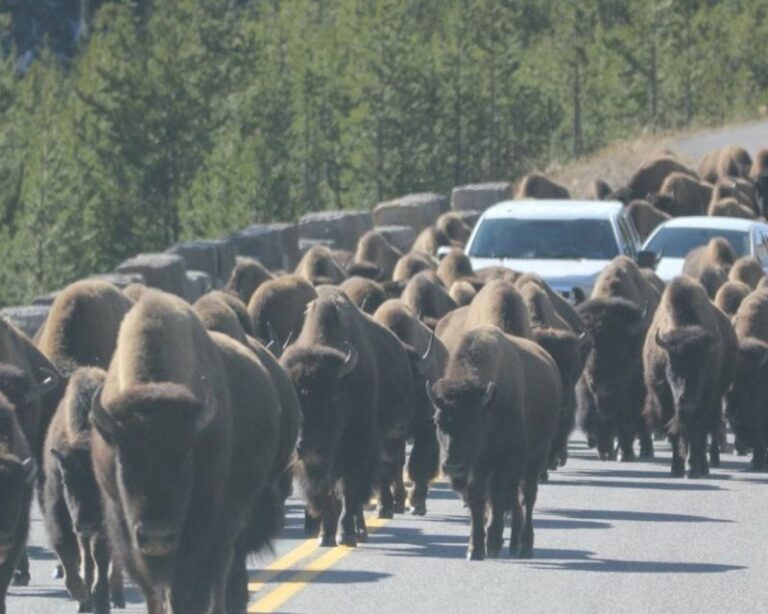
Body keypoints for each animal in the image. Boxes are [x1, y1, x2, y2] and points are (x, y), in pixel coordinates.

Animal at [91, 294, 282, 614]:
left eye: (185, 457)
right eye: (124, 459)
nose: (157, 536)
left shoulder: (201, 521)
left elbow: (188, 588)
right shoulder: (123, 522)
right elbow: (153, 589)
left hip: (233, 514)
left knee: (221, 569)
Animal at [426, 330, 560, 560]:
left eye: (473, 421)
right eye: (437, 421)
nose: (452, 465)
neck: (489, 406)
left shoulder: (505, 462)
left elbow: (497, 497)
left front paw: (493, 543)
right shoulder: (475, 470)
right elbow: (477, 500)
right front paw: (475, 548)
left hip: (535, 460)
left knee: (527, 497)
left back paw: (525, 546)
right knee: (515, 500)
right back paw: (514, 544)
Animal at [640, 276, 736, 478]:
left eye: (705, 366)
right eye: (671, 368)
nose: (688, 399)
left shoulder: (706, 401)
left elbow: (697, 433)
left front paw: (694, 469)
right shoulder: (667, 402)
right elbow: (676, 432)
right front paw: (677, 468)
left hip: (715, 401)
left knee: (709, 430)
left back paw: (705, 465)